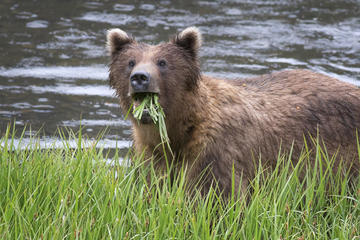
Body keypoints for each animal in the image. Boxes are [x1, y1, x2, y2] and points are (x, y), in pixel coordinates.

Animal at [107, 26, 360, 197]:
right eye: (130, 62)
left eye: (162, 62)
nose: (140, 78)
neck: (180, 131)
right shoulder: (151, 154)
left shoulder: (217, 153)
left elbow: (215, 195)